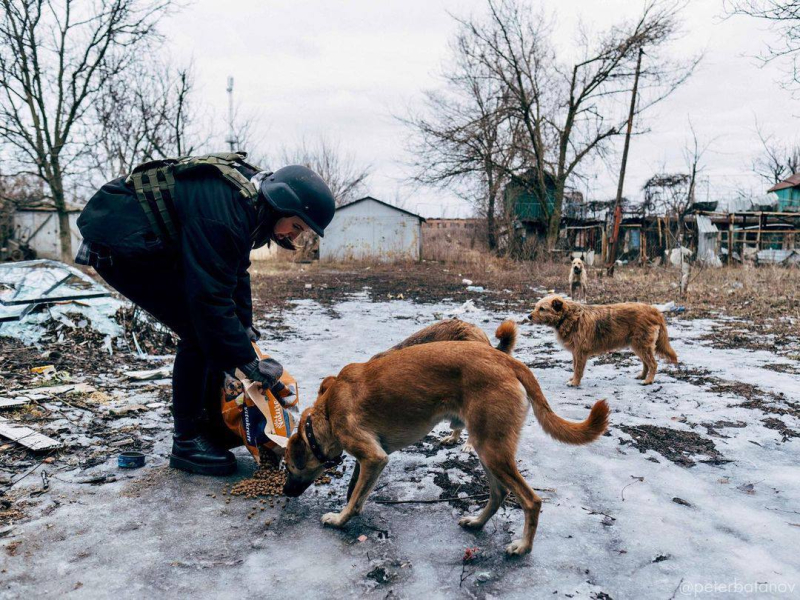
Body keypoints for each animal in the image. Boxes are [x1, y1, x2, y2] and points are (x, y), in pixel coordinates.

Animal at [282, 336, 608, 556]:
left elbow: (354, 499)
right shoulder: (369, 461)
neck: (326, 410)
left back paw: (523, 547)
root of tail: (507, 360)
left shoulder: (374, 457)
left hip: (493, 451)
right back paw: (477, 523)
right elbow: (356, 491)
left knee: (531, 501)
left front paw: (340, 519)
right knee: (499, 493)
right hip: (488, 449)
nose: (285, 492)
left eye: (288, 467)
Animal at [528, 294, 680, 386]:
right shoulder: (575, 352)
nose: (528, 316)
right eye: (535, 306)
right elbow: (574, 366)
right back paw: (642, 376)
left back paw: (648, 380)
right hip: (638, 346)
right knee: (646, 364)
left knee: (653, 364)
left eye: (542, 308)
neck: (568, 316)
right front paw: (573, 379)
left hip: (641, 345)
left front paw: (575, 382)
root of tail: (654, 310)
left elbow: (578, 369)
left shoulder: (580, 351)